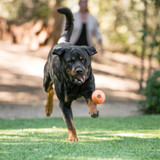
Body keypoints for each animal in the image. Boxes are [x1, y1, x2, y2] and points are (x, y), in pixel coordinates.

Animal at [43, 7, 99, 141]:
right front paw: (73, 137)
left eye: (84, 60)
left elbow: (92, 100)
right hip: (46, 80)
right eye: (70, 61)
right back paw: (48, 108)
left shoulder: (89, 87)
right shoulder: (63, 104)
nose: (79, 70)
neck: (74, 85)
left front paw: (94, 111)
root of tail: (62, 42)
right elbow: (69, 123)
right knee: (50, 91)